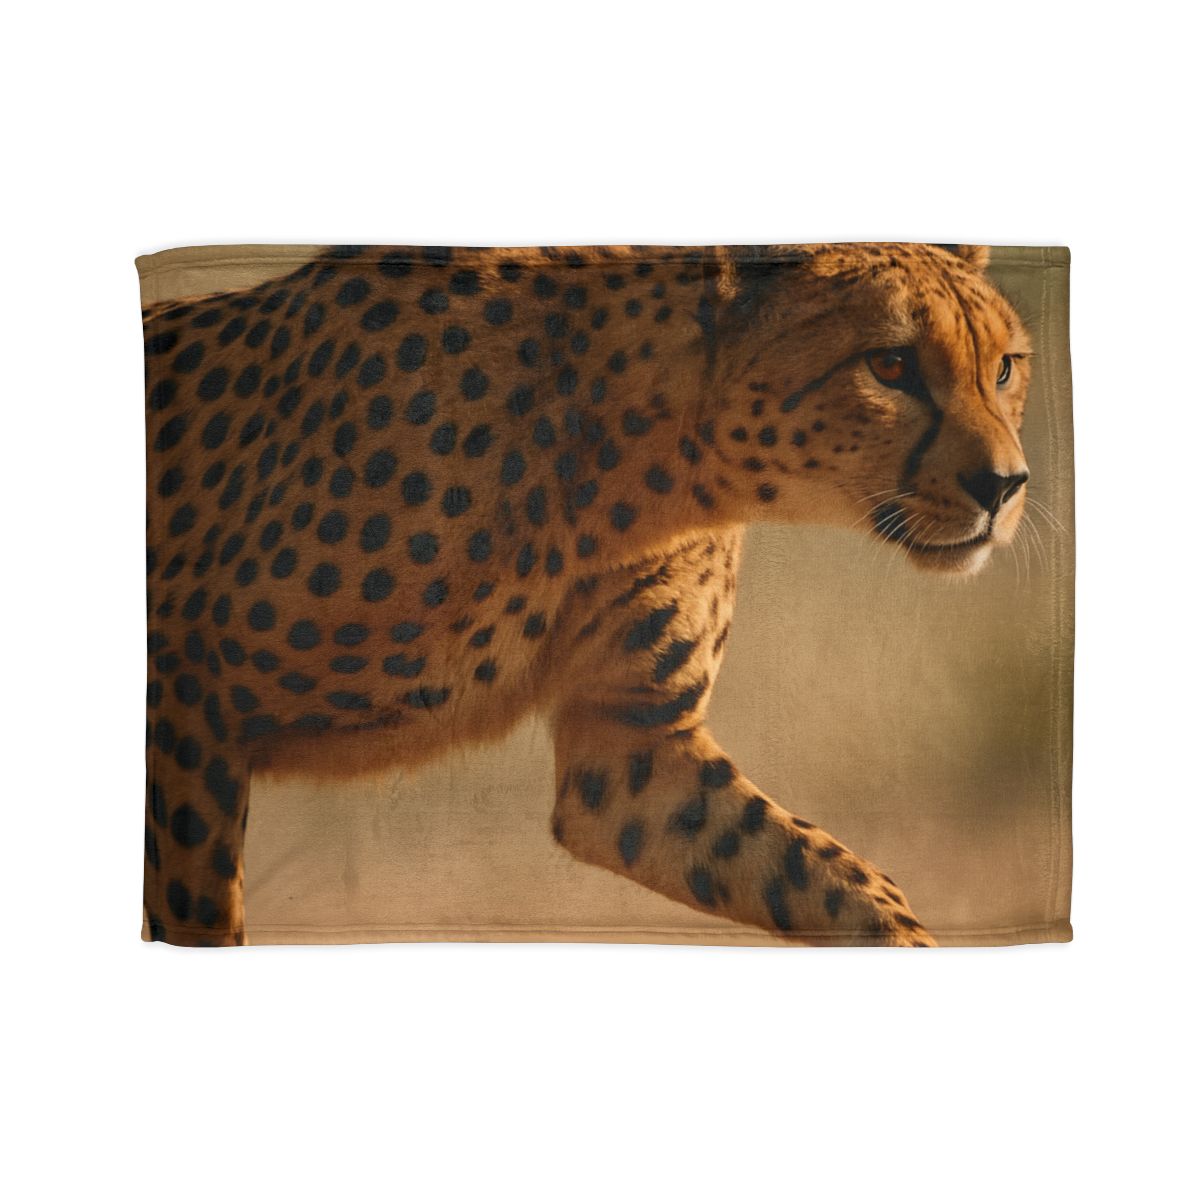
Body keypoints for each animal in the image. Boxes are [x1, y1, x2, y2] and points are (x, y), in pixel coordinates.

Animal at [141, 242, 1032, 947]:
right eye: (890, 365)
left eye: (1004, 368)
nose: (1005, 485)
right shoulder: (183, 701)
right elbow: (198, 904)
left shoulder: (632, 750)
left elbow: (849, 882)